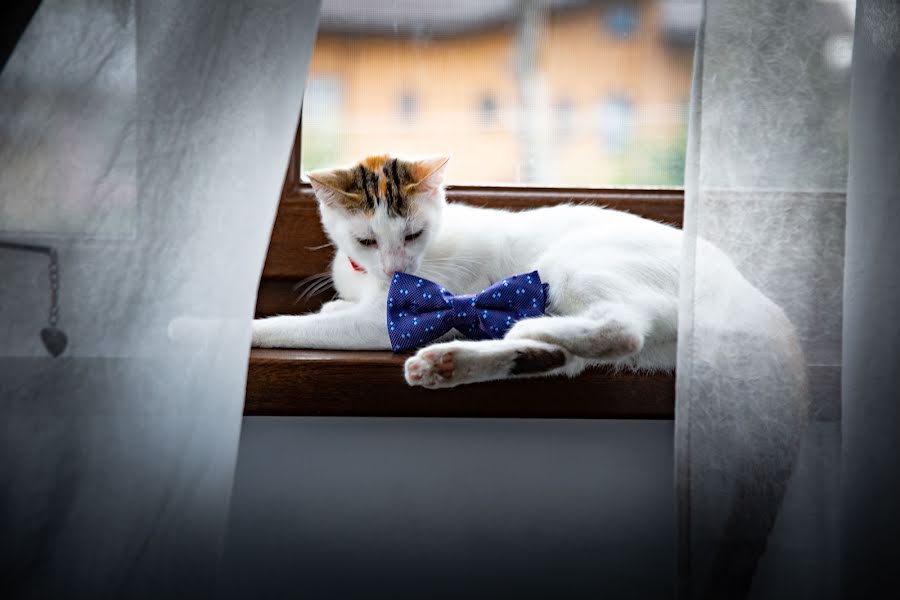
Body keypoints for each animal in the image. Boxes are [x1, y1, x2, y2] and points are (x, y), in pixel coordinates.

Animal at [253, 155, 796, 390]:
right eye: (366, 240)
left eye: (412, 235)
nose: (394, 268)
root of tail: (754, 296)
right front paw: (333, 301)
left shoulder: (395, 316)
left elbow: (300, 326)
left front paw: (251, 328)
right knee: (568, 356)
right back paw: (452, 362)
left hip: (572, 265)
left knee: (621, 328)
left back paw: (514, 327)